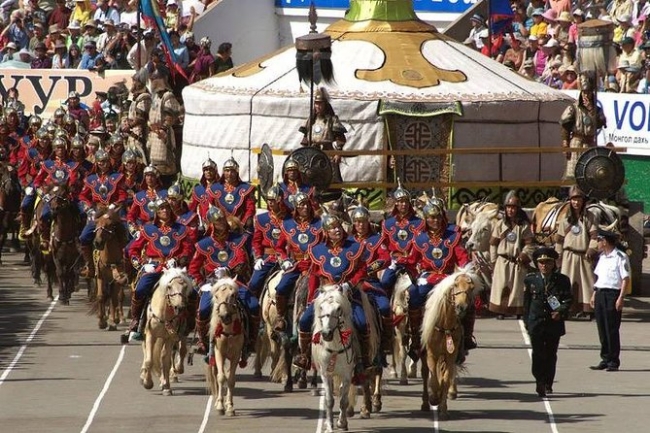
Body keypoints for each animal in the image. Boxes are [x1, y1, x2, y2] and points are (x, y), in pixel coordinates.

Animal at [140, 264, 192, 394]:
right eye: (169, 287)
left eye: (185, 286)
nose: (179, 307)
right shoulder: (150, 335)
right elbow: (149, 360)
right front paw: (148, 383)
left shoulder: (170, 337)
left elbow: (166, 361)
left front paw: (167, 386)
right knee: (146, 352)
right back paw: (143, 375)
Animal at [205, 276, 246, 416]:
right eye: (216, 296)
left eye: (232, 295)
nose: (224, 316)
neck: (228, 331)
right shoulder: (219, 353)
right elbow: (221, 377)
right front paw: (220, 406)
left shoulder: (236, 354)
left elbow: (231, 379)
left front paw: (230, 407)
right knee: (217, 374)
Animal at [418, 270, 478, 418]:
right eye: (455, 285)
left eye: (472, 287)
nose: (461, 307)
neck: (445, 326)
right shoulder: (431, 354)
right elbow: (433, 379)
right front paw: (434, 398)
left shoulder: (451, 355)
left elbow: (445, 379)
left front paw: (443, 407)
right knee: (425, 374)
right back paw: (425, 403)